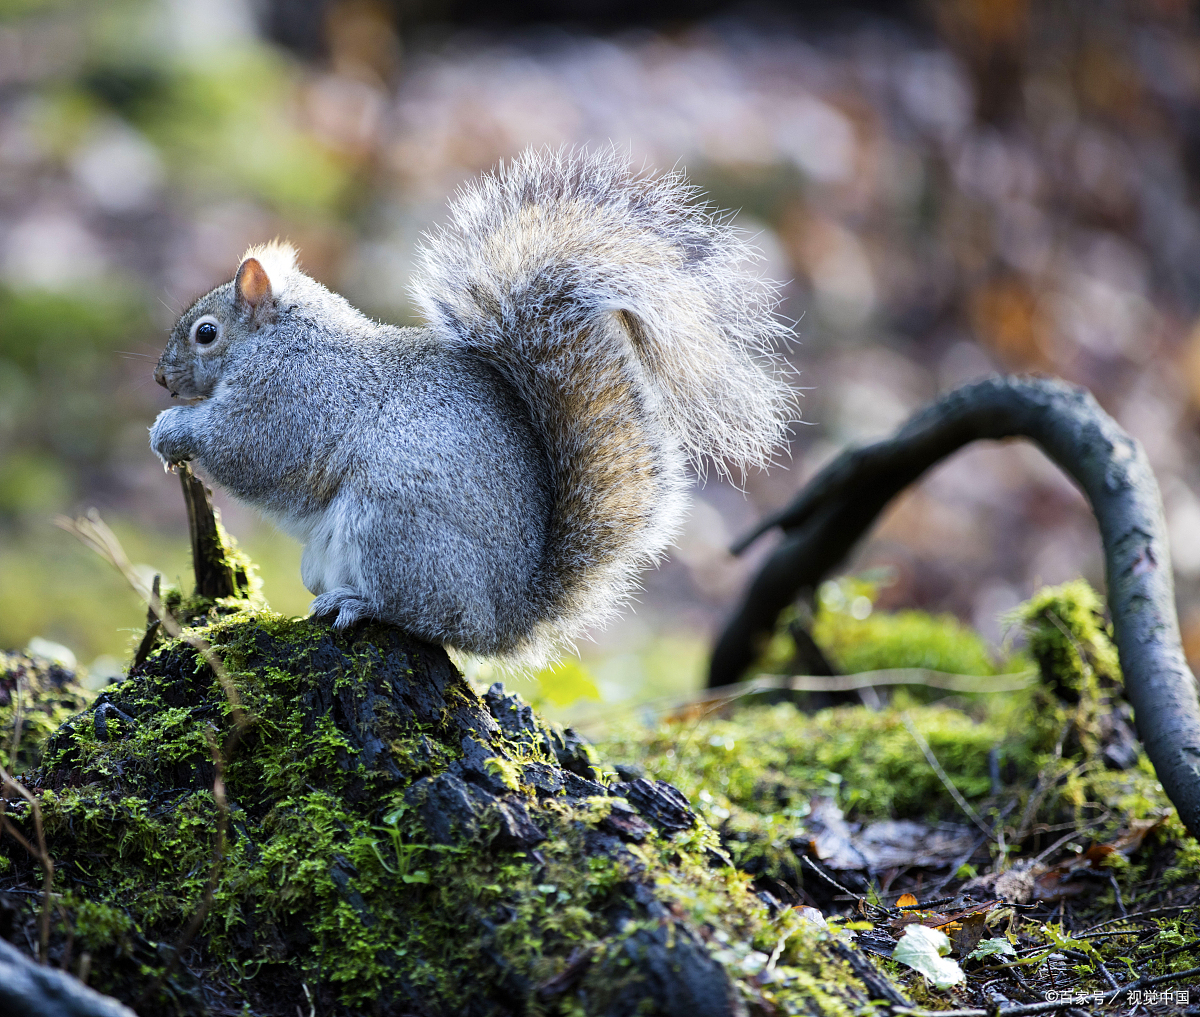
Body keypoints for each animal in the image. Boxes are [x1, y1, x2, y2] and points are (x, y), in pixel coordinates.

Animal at [152, 146, 796, 662]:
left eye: (205, 333)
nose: (160, 378)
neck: (284, 337)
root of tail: (507, 620)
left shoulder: (291, 399)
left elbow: (247, 450)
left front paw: (172, 430)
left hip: (396, 522)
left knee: (426, 617)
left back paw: (359, 603)